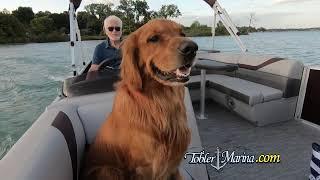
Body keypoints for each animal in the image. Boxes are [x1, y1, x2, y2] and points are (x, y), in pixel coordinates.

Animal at [80, 19, 198, 179]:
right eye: (153, 38)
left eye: (182, 34)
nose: (192, 48)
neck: (161, 102)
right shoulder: (144, 168)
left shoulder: (173, 165)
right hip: (109, 170)